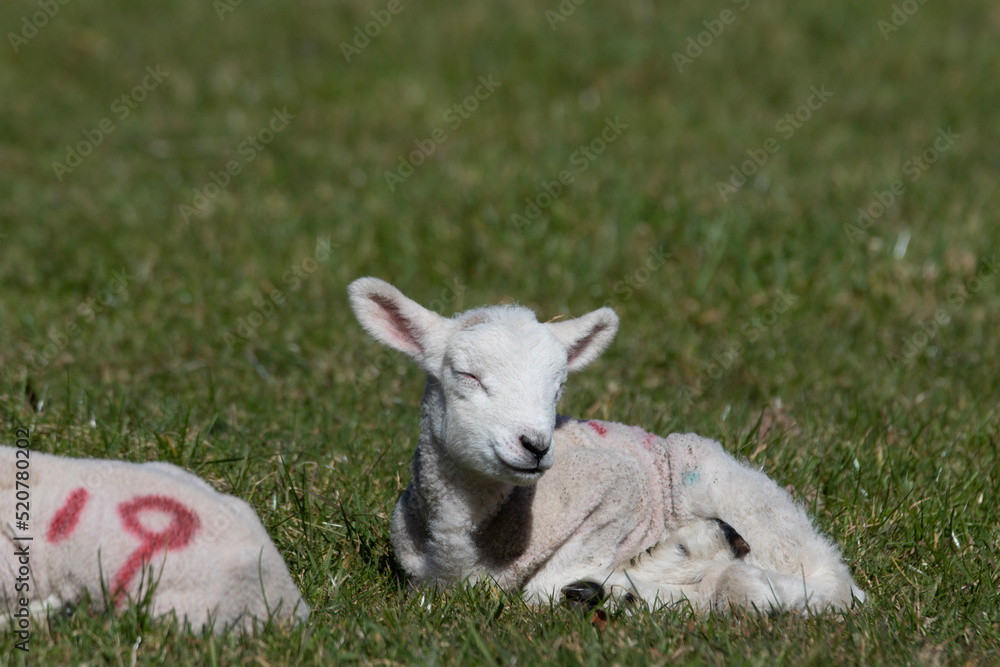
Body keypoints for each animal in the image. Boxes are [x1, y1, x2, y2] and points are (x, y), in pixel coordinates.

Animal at [348, 278, 864, 616]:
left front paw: (593, 588)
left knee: (820, 585)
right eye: (467, 375)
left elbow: (541, 591)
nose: (536, 445)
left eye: (558, 388)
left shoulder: (615, 484)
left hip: (743, 501)